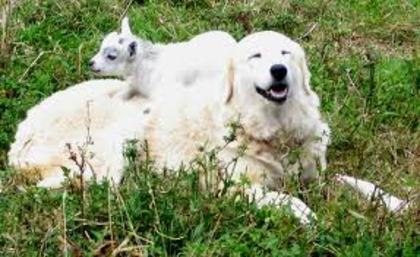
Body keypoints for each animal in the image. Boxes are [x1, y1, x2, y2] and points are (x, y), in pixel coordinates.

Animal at [144, 31, 332, 222]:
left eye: (285, 53)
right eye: (256, 56)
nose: (279, 70)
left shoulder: (316, 174)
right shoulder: (237, 187)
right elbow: (285, 198)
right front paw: (305, 214)